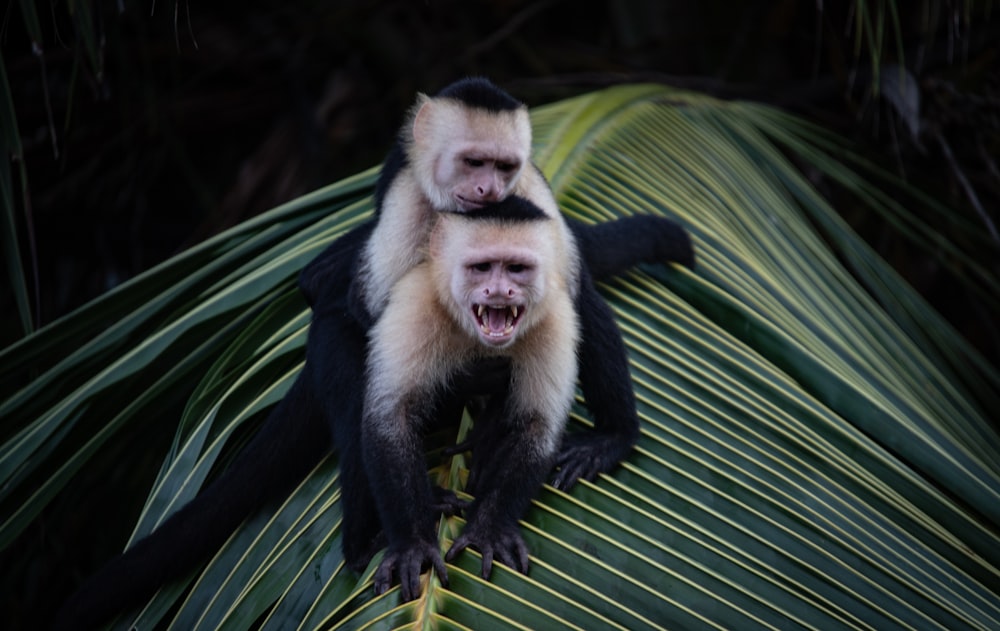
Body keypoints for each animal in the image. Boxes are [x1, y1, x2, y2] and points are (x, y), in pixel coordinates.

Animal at [50, 78, 692, 631]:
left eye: (503, 166)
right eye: (473, 163)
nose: (488, 192)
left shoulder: (531, 200)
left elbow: (549, 368)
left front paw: (492, 483)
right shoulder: (410, 201)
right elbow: (374, 342)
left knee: (583, 297)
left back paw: (610, 437)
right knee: (346, 348)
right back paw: (369, 536)